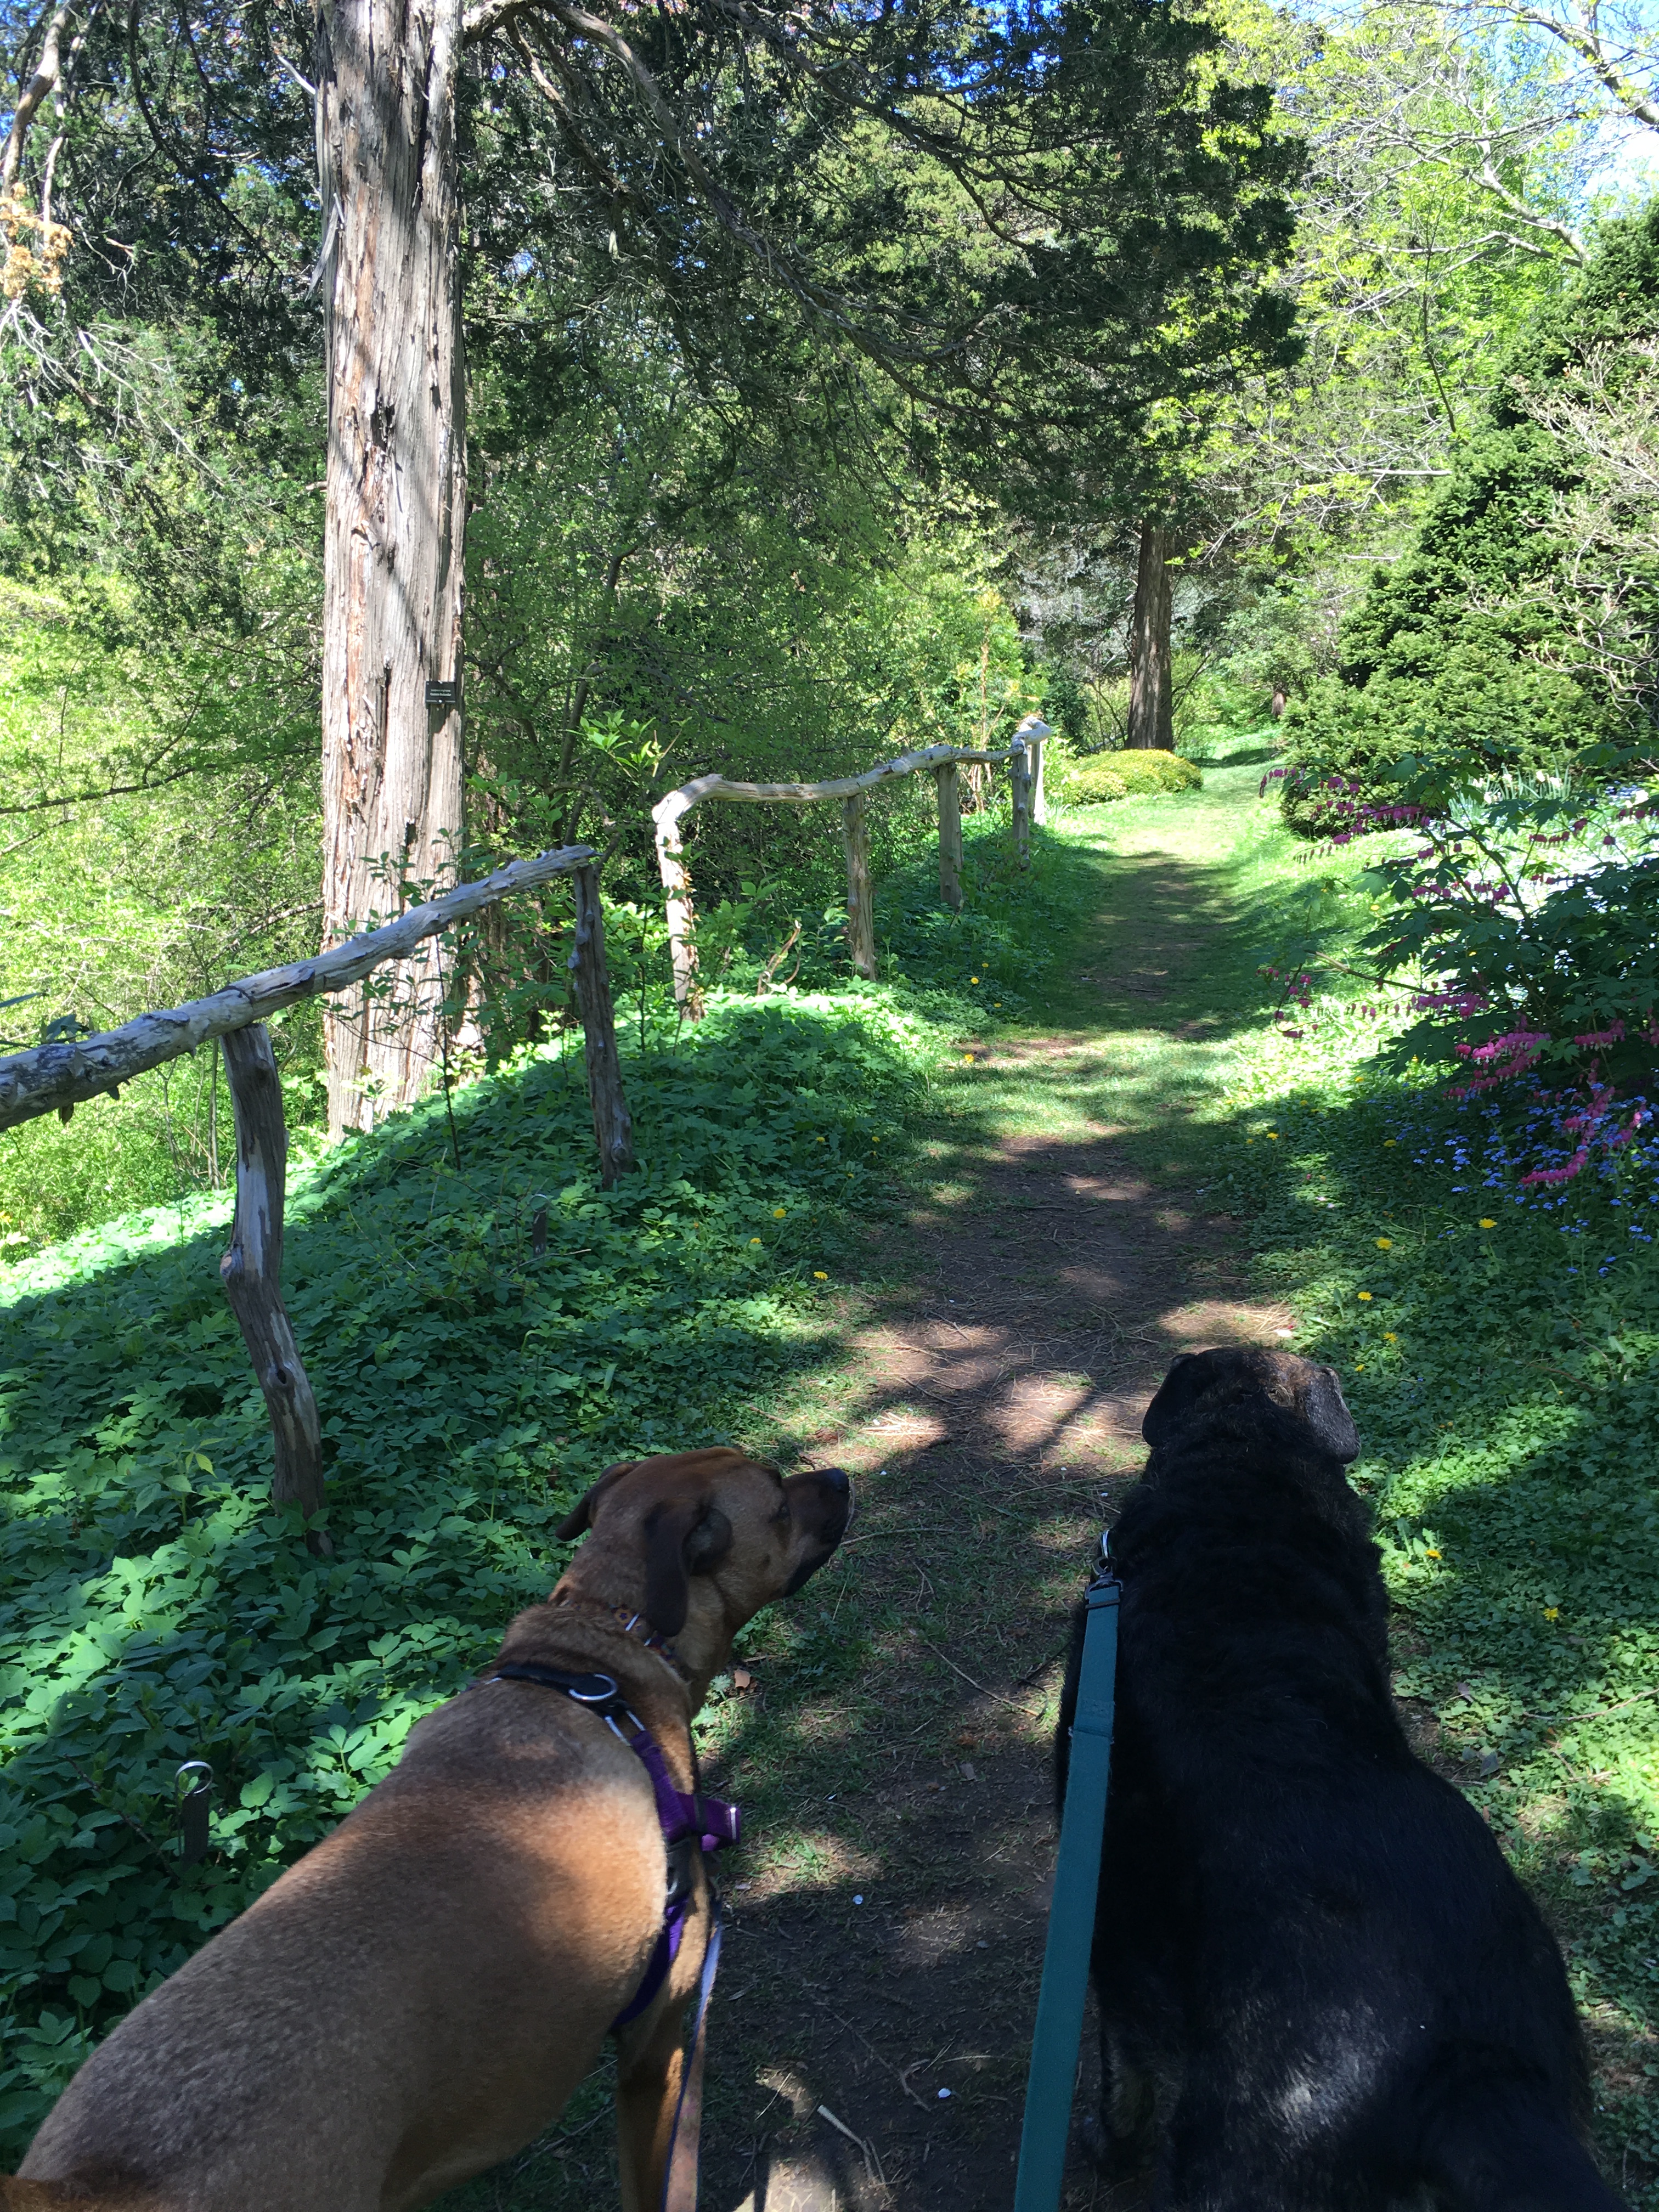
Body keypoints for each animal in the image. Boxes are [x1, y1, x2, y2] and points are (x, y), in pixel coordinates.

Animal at [1057, 1348, 1626, 2212]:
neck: (1240, 1473)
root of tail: (1466, 2074)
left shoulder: (1112, 1928)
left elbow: (1122, 2072)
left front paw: (1106, 2146)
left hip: (1231, 2166)